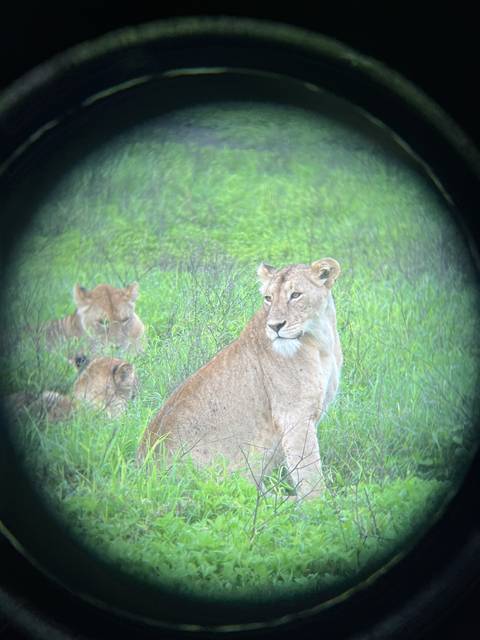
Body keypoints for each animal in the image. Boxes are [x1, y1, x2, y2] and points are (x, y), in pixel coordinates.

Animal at [137, 258, 342, 499]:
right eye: (268, 298)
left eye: (296, 295)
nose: (275, 326)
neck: (321, 339)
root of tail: (141, 471)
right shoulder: (294, 415)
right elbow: (310, 473)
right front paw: (320, 505)